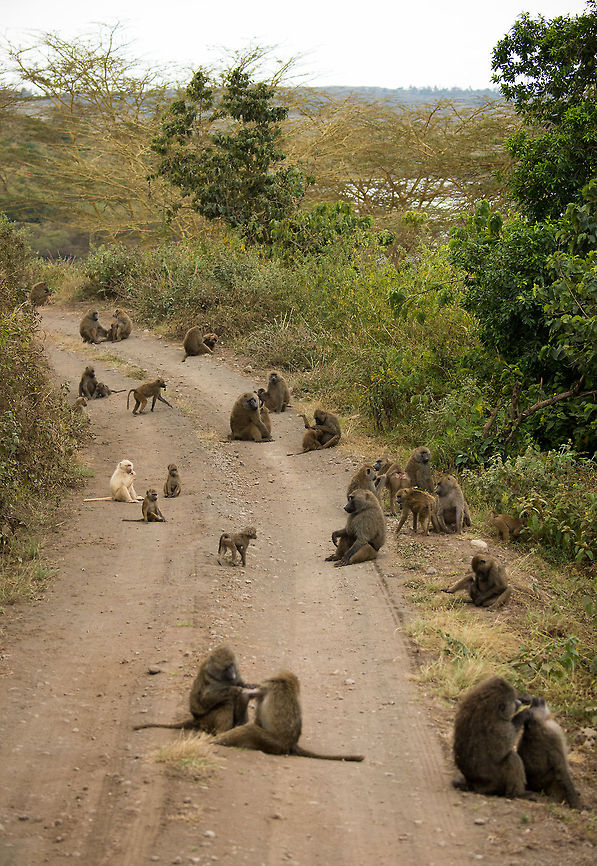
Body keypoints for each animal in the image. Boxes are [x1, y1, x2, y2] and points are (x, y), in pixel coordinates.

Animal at [214, 670, 364, 761]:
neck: (287, 683)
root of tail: (291, 742)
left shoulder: (267, 687)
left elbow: (247, 696)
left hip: (271, 741)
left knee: (251, 730)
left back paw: (216, 740)